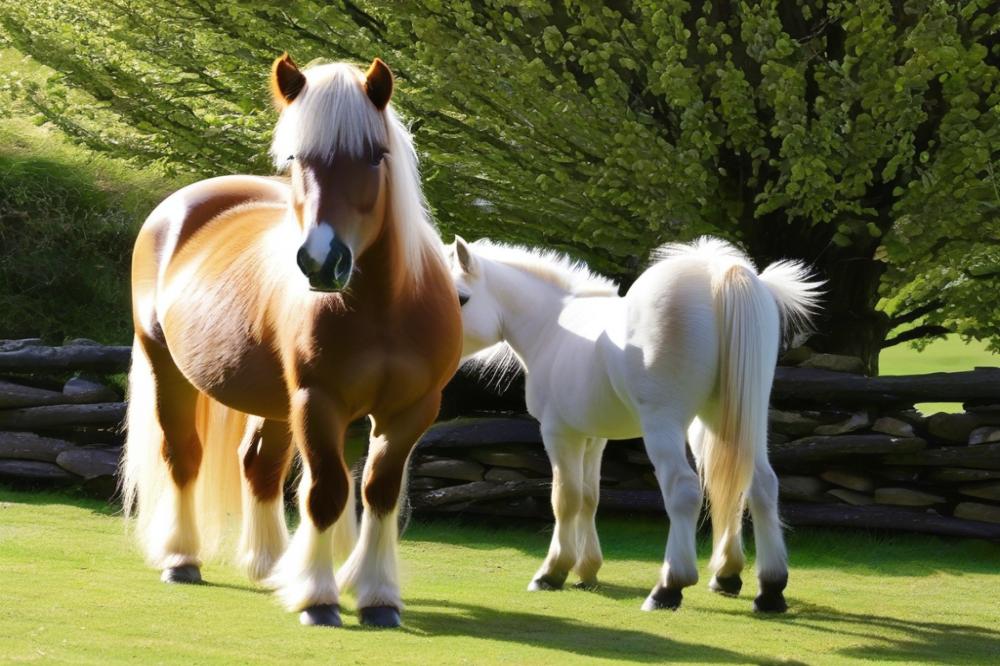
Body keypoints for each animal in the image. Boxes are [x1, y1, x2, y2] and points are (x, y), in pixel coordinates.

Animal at [123, 54, 462, 624]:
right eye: (296, 157)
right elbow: (326, 492)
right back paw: (182, 558)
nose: (322, 262)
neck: (384, 309)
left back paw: (268, 565)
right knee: (183, 456)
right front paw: (319, 598)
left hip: (274, 402)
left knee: (259, 465)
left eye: (375, 156)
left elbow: (377, 492)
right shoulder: (316, 401)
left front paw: (376, 598)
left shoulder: (411, 410)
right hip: (166, 369)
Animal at [446, 236, 820, 608]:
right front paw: (586, 570)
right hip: (736, 422)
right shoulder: (593, 437)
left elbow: (565, 499)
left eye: (461, 297)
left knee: (684, 490)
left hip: (665, 427)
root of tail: (716, 274)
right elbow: (589, 497)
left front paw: (552, 572)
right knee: (760, 486)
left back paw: (669, 587)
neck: (553, 327)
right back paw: (762, 587)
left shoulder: (559, 433)